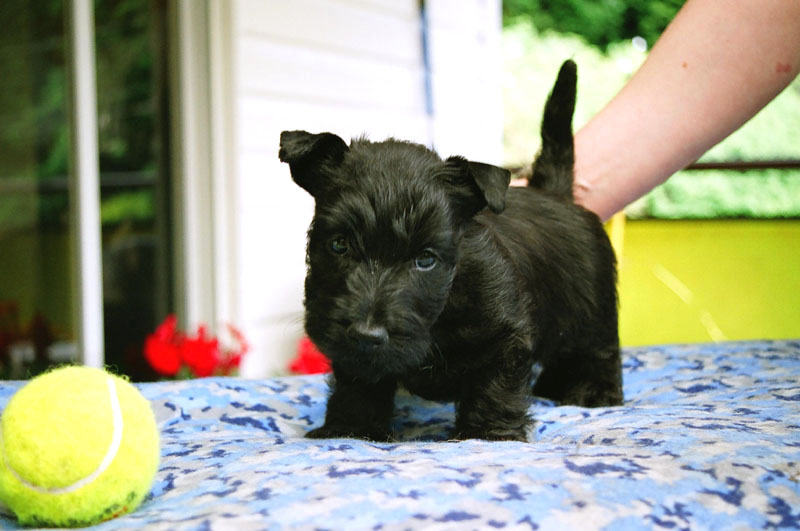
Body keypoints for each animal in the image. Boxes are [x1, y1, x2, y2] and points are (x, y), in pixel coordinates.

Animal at [278, 60, 622, 442]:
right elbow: (358, 383)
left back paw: (593, 392)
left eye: (426, 259)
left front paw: (490, 431)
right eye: (339, 244)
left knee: (599, 352)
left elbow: (495, 385)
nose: (367, 334)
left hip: (594, 315)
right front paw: (351, 428)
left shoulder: (507, 334)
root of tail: (556, 192)